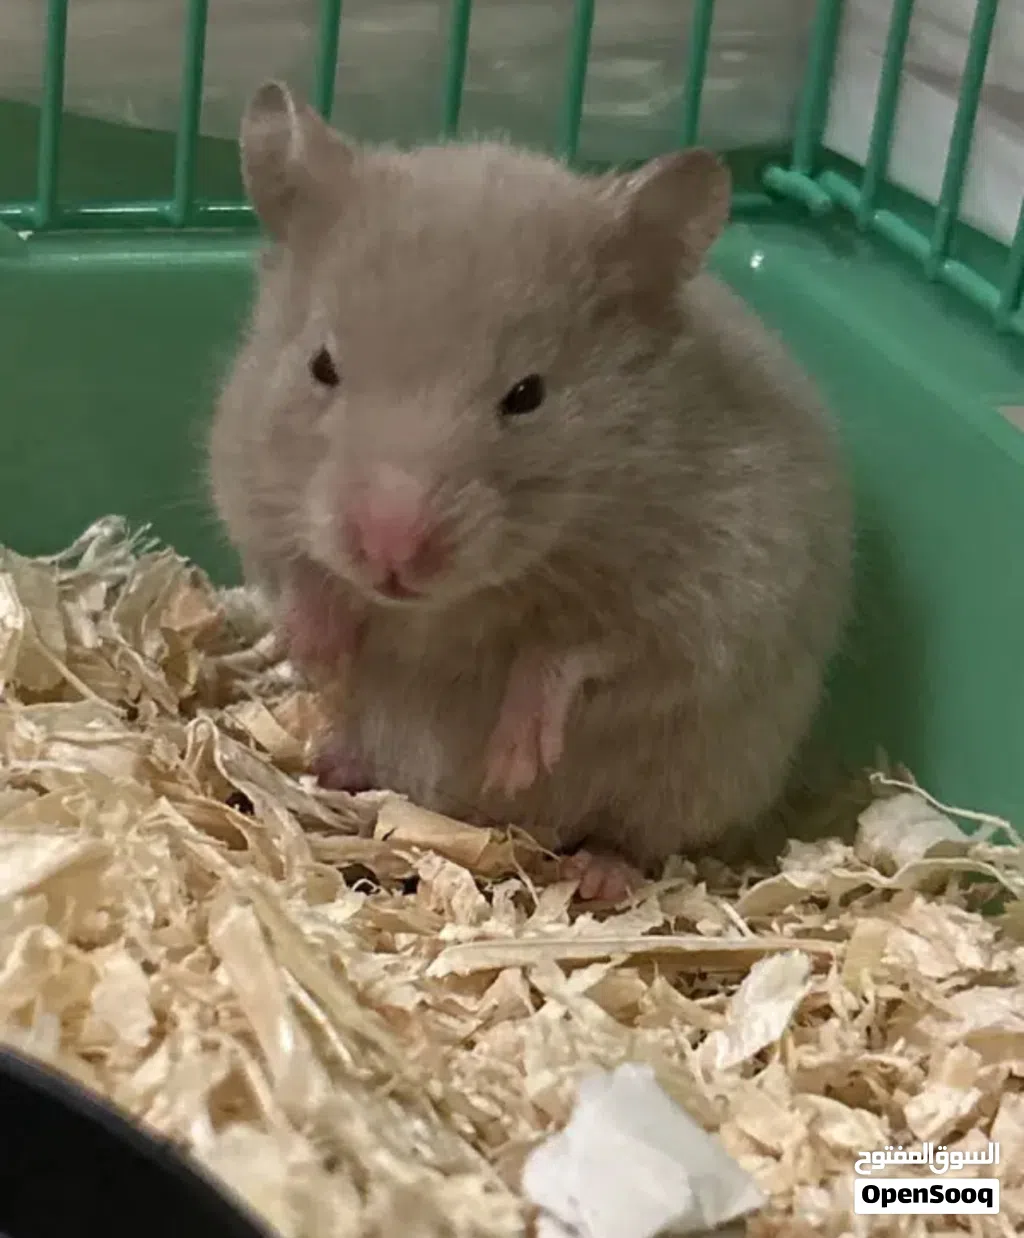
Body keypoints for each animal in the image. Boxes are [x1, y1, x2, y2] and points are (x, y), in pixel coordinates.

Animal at [208, 81, 853, 902]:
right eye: (322, 365)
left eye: (527, 394)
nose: (390, 553)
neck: (445, 605)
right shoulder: (251, 498)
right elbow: (298, 574)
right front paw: (317, 656)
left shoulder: (706, 597)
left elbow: (577, 651)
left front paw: (514, 760)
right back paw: (335, 765)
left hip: (696, 782)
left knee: (636, 837)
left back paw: (596, 873)